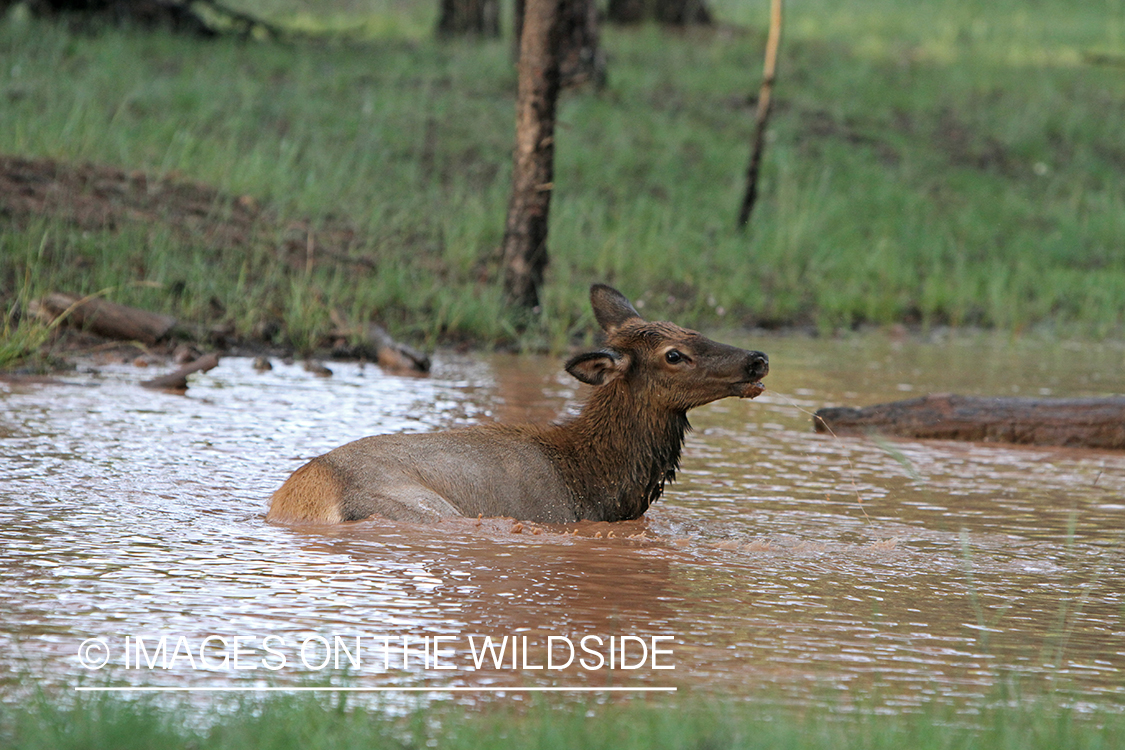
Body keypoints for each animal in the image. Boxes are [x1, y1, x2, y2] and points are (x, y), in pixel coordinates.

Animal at [267, 284, 769, 525]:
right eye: (674, 355)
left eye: (692, 330)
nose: (757, 360)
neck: (597, 486)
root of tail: (305, 498)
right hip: (427, 509)